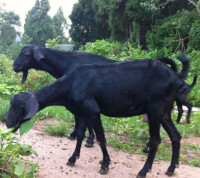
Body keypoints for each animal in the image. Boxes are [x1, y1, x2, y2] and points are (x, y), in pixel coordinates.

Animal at [6, 55, 188, 177]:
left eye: (20, 106)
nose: (8, 123)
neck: (72, 84)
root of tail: (177, 78)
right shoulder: (83, 112)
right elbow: (80, 134)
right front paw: (73, 158)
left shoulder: (93, 111)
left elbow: (101, 137)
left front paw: (105, 165)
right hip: (165, 111)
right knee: (176, 136)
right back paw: (171, 168)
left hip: (155, 109)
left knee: (156, 140)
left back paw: (143, 170)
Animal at [12, 45, 189, 147]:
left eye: (26, 52)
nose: (15, 66)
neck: (68, 64)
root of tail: (174, 74)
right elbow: (79, 118)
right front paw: (77, 135)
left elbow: (83, 119)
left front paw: (88, 140)